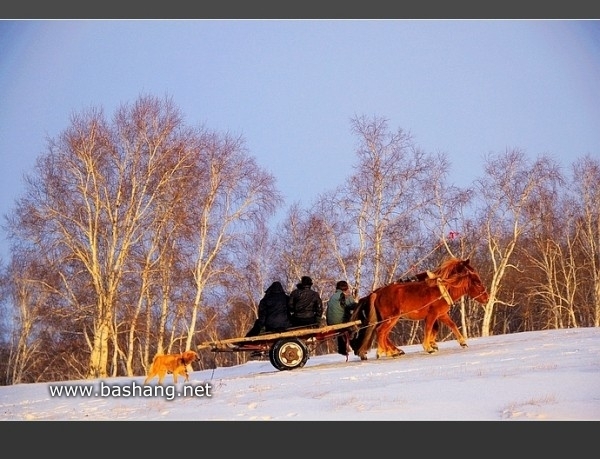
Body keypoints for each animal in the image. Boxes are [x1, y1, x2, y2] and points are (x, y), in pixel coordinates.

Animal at [350, 258, 490, 360]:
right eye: (477, 283)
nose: (487, 298)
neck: (443, 289)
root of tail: (377, 293)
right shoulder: (432, 315)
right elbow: (429, 329)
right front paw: (429, 347)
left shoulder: (442, 315)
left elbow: (452, 325)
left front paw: (462, 342)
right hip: (391, 318)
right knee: (381, 332)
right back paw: (389, 352)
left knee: (383, 334)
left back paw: (391, 351)